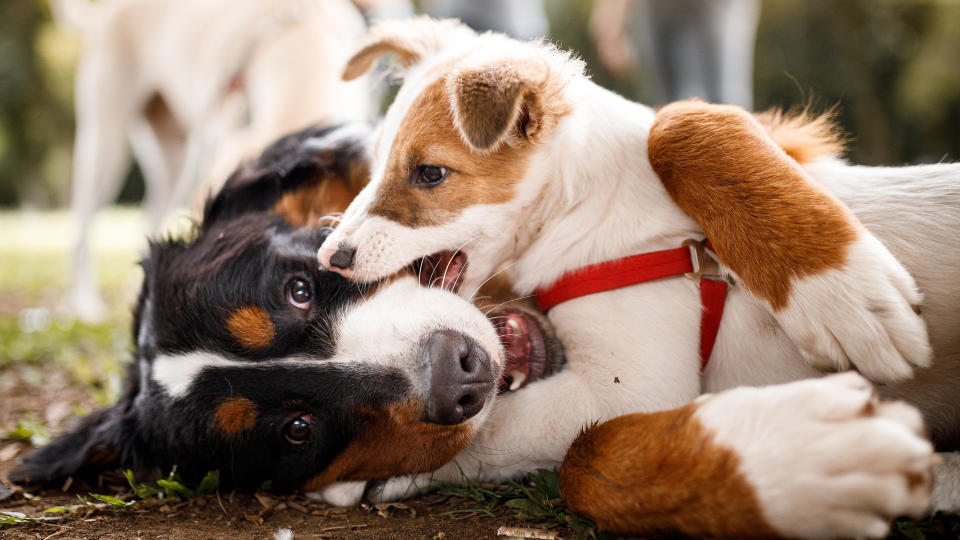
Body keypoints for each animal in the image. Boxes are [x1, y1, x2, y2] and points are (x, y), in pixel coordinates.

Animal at [56, 0, 372, 320]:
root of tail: (107, 14)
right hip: (105, 140)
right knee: (82, 222)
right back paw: (83, 301)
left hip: (176, 158)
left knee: (150, 214)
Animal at [320, 17, 960, 540]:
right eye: (375, 165)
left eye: (430, 173)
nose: (332, 258)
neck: (584, 209)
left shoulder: (629, 387)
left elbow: (559, 444)